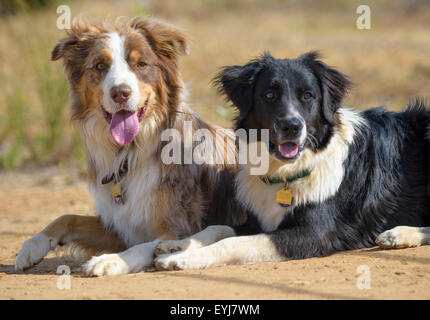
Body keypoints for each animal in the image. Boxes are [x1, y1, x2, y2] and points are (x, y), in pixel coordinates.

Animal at [15, 17, 245, 276]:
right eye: (100, 65)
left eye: (141, 64)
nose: (120, 93)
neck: (129, 153)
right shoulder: (120, 224)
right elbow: (67, 217)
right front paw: (33, 245)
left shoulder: (176, 226)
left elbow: (146, 245)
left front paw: (111, 260)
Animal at [154, 52, 430, 270]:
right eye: (268, 94)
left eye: (308, 95)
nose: (292, 126)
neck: (288, 171)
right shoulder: (258, 220)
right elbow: (218, 228)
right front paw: (176, 245)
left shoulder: (313, 234)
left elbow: (232, 242)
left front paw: (181, 258)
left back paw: (400, 233)